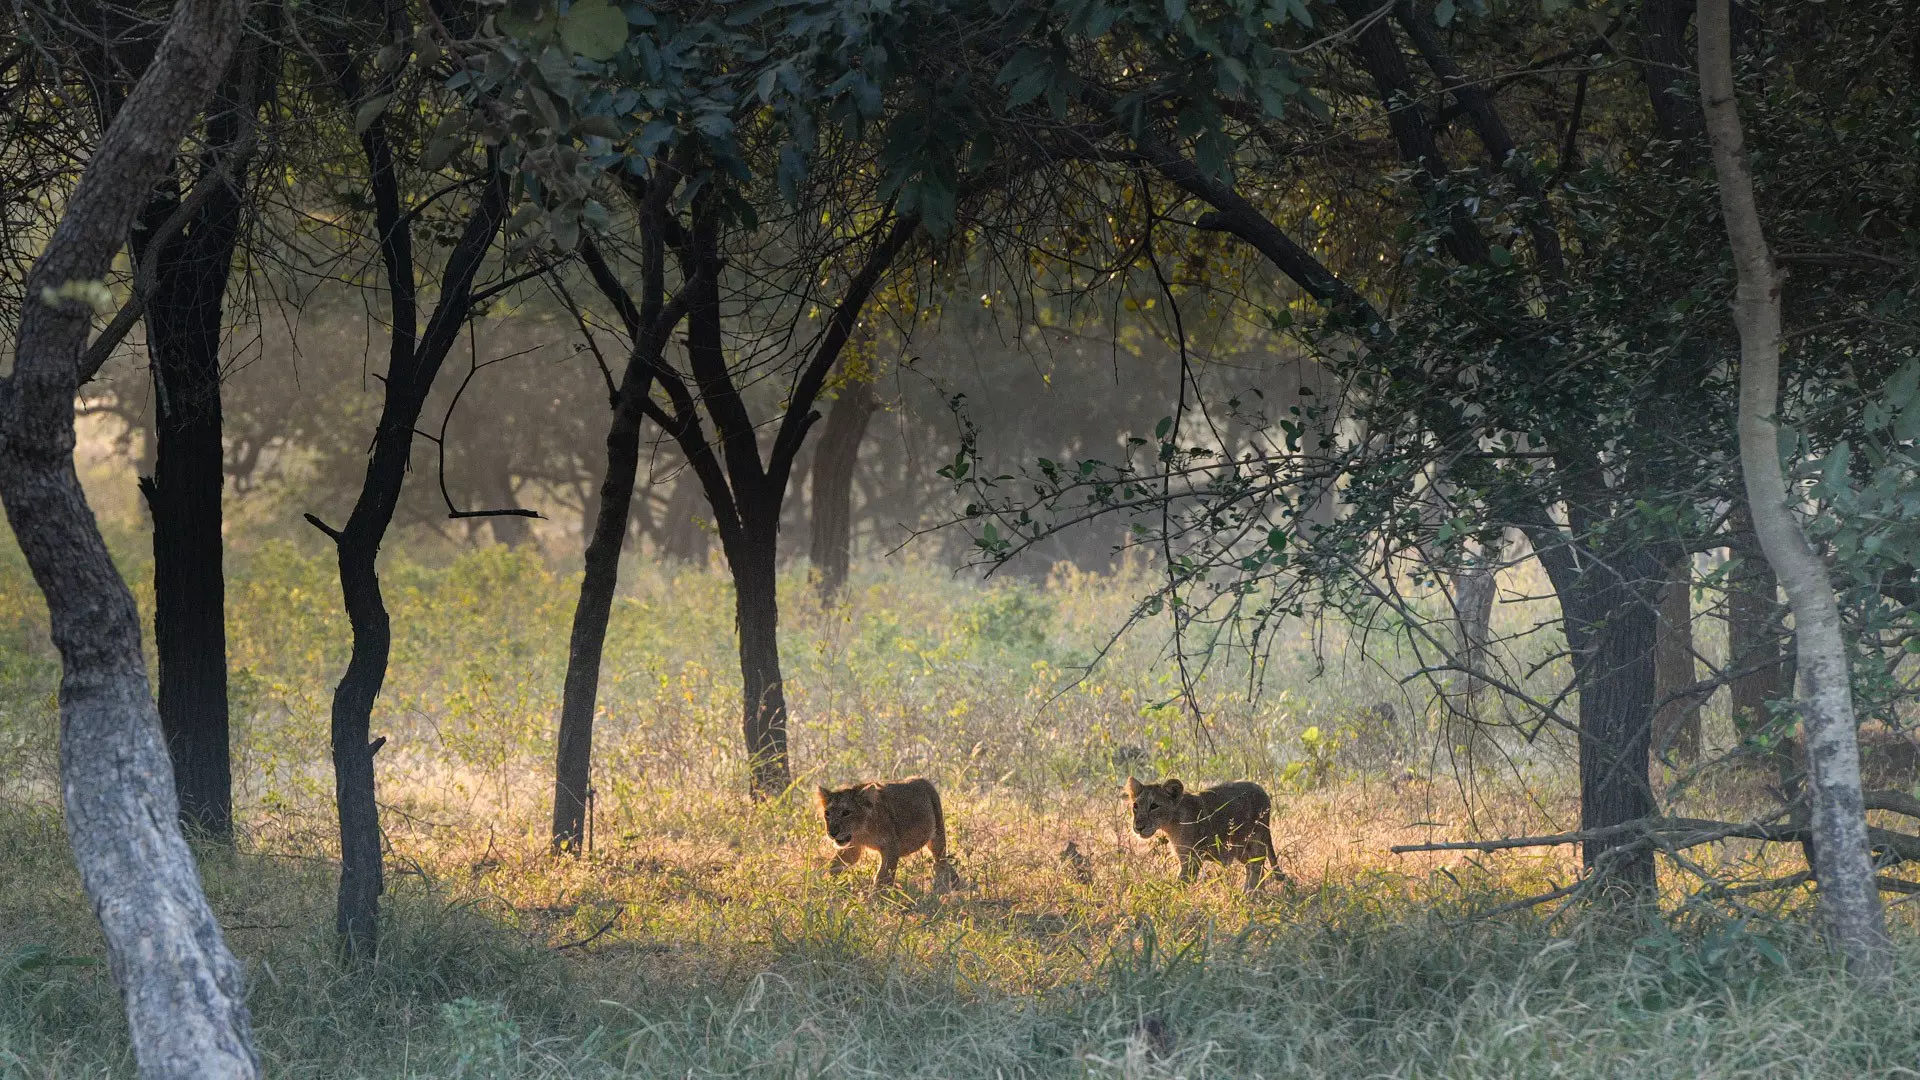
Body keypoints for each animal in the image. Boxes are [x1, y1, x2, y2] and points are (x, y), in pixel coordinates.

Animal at [815, 776, 962, 892]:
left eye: (846, 812)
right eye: (827, 813)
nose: (832, 832)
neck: (862, 830)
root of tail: (923, 780)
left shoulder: (891, 848)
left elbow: (883, 877)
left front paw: (876, 901)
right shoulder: (853, 846)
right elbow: (834, 866)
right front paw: (840, 887)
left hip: (938, 835)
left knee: (940, 861)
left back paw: (944, 885)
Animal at [1125, 776, 1279, 891]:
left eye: (1154, 806)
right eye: (1135, 806)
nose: (1138, 827)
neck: (1171, 824)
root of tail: (1262, 791)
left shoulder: (1192, 858)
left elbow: (1182, 883)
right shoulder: (1184, 856)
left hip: (1256, 839)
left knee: (1257, 866)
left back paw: (1251, 894)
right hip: (1240, 848)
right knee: (1253, 867)